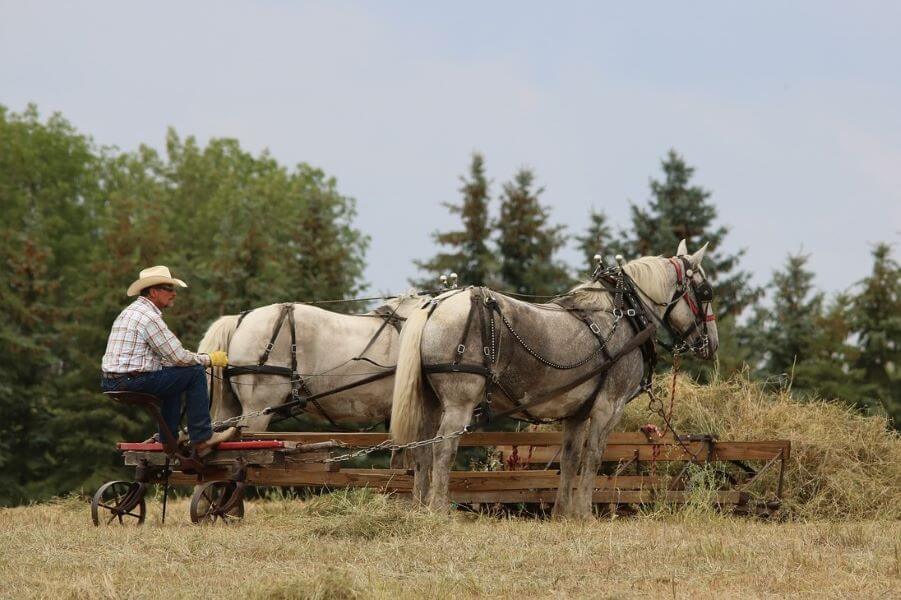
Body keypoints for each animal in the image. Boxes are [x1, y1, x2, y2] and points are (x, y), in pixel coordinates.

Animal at [390, 241, 720, 516]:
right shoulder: (609, 406)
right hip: (459, 403)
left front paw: (563, 513)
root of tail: (435, 305)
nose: (712, 344)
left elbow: (570, 459)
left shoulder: (577, 412)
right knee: (443, 449)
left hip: (431, 402)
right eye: (705, 292)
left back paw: (420, 509)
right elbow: (593, 456)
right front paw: (585, 513)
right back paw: (438, 510)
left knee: (421, 448)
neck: (625, 314)